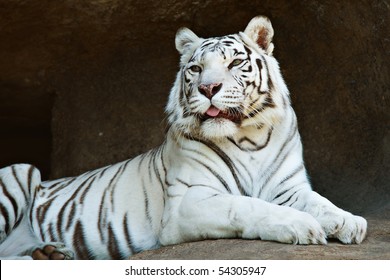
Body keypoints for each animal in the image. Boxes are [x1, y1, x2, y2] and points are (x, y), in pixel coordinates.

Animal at [0, 16, 366, 260]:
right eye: (195, 69)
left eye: (235, 62)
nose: (208, 88)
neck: (249, 137)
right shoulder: (187, 202)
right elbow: (246, 205)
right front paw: (302, 226)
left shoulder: (289, 189)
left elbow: (320, 202)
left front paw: (350, 222)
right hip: (23, 171)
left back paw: (49, 253)